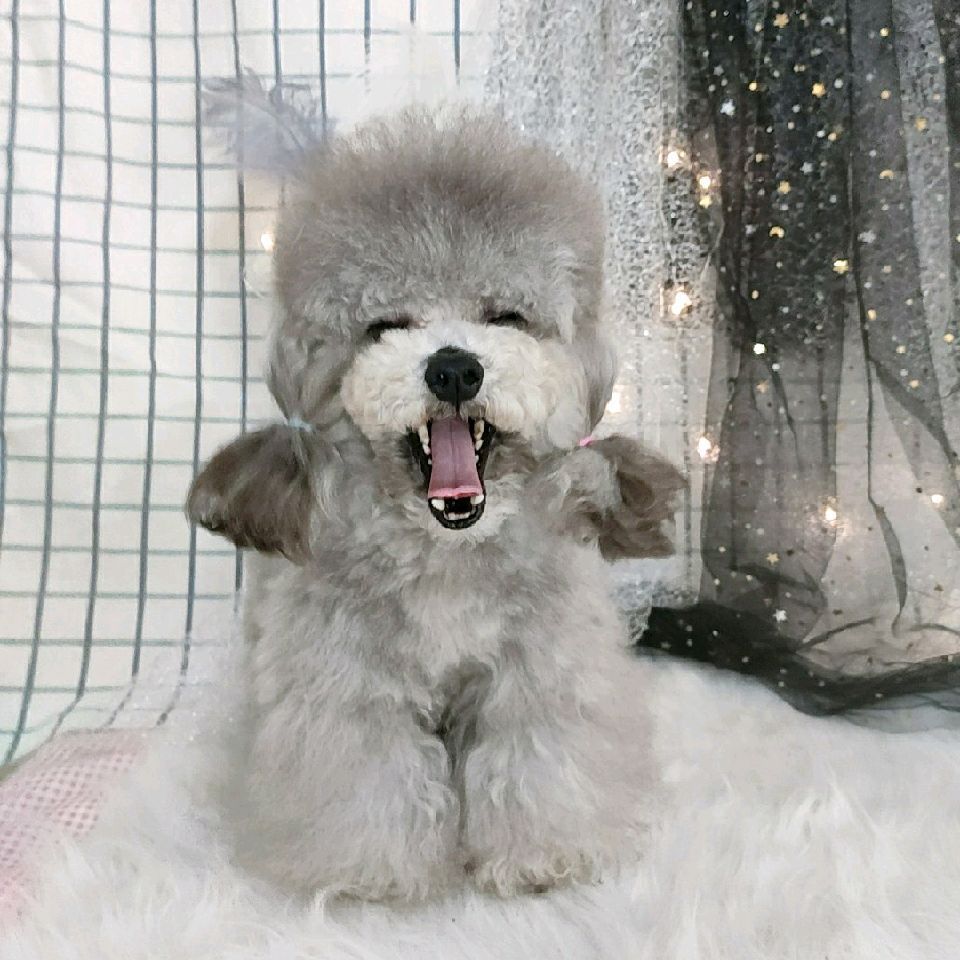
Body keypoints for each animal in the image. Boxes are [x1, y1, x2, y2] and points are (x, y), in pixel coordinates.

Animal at [187, 106, 683, 900]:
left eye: (507, 317)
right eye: (385, 325)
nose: (454, 367)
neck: (445, 552)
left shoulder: (539, 667)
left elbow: (537, 756)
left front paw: (540, 858)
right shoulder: (346, 680)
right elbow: (367, 771)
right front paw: (372, 872)